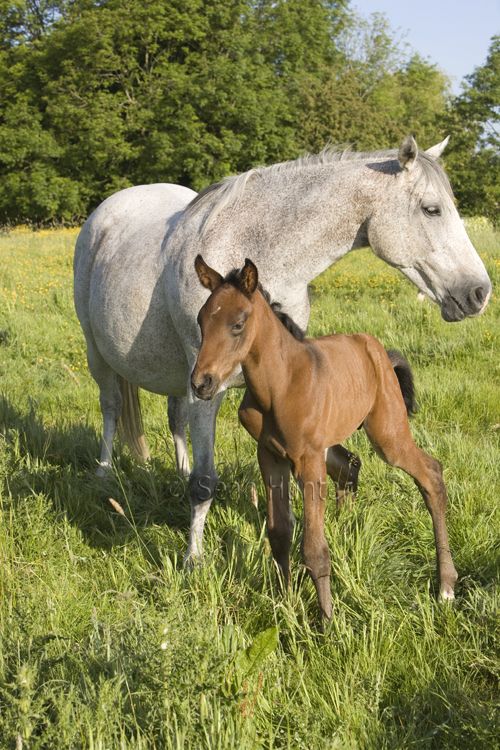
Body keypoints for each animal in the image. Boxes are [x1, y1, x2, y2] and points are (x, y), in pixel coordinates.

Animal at [191, 258, 458, 624]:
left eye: (238, 323)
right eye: (201, 320)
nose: (200, 383)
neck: (280, 385)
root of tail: (375, 349)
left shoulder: (308, 462)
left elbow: (314, 548)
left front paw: (326, 623)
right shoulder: (270, 456)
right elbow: (279, 533)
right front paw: (284, 605)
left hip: (387, 434)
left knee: (431, 473)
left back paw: (446, 586)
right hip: (333, 443)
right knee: (350, 465)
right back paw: (349, 532)